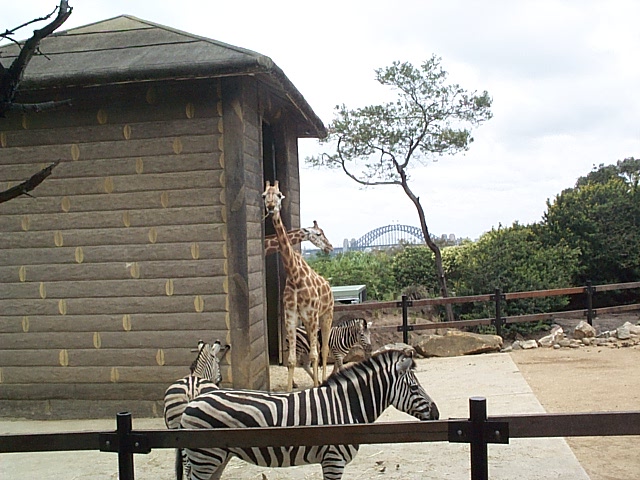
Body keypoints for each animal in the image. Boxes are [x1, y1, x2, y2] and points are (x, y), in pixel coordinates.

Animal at [262, 180, 334, 391]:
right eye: (264, 195)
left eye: (279, 194)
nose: (330, 247)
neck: (294, 275)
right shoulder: (291, 316)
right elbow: (292, 359)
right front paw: (288, 390)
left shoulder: (312, 315)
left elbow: (314, 354)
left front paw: (316, 386)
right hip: (311, 320)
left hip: (326, 315)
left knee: (324, 350)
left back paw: (323, 381)